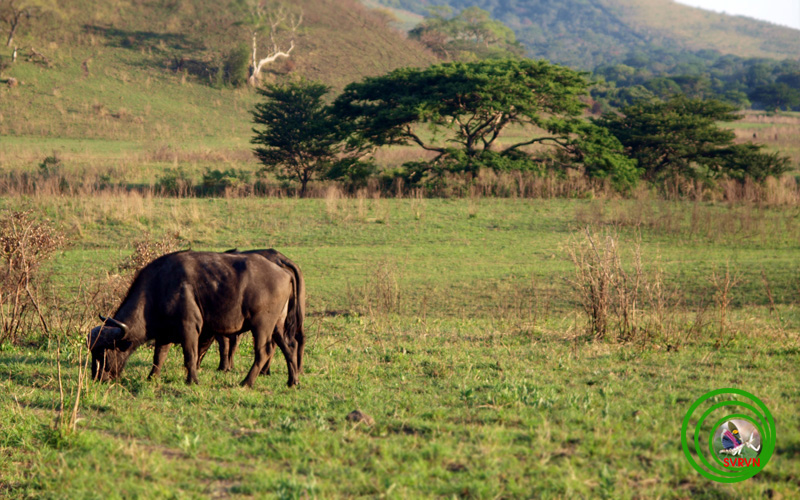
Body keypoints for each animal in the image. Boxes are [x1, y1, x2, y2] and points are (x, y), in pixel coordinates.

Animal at [86, 252, 300, 388]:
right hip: (277, 325)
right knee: (289, 347)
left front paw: (192, 380)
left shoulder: (189, 328)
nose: (97, 378)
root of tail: (283, 272)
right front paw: (151, 378)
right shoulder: (164, 334)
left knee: (263, 352)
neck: (157, 290)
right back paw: (293, 381)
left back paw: (246, 382)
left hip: (261, 325)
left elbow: (190, 355)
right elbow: (158, 357)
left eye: (103, 353)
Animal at [200, 248, 310, 376]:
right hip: (297, 313)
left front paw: (223, 367)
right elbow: (233, 344)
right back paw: (298, 369)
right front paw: (230, 366)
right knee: (299, 338)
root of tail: (280, 258)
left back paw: (265, 370)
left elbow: (224, 344)